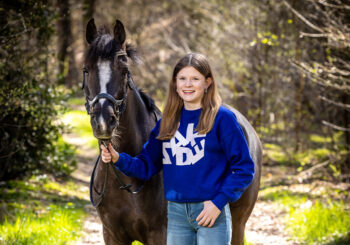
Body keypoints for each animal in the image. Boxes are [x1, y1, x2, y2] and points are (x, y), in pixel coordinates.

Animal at [83, 18, 262, 244]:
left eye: (124, 70)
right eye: (86, 70)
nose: (103, 121)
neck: (127, 183)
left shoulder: (160, 234)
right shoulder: (112, 234)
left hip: (237, 224)